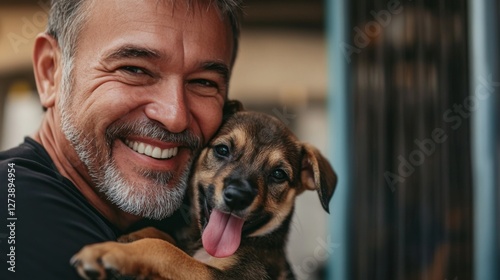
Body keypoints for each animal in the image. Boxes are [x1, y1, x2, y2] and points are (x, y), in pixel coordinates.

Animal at [71, 105, 336, 280]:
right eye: (222, 150)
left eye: (278, 174)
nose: (237, 197)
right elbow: (170, 242)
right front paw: (137, 235)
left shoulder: (234, 276)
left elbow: (167, 252)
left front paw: (110, 252)